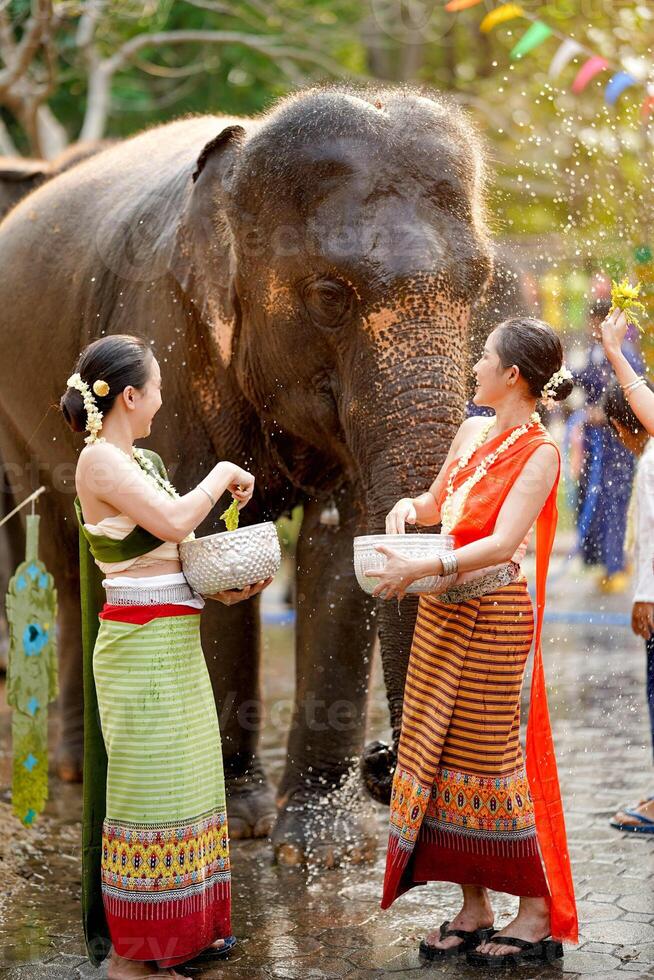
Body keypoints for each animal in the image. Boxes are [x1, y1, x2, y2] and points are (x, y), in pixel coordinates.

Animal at [0, 82, 498, 864]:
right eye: (329, 295)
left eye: (479, 286)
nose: (382, 763)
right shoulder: (167, 331)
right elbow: (196, 539)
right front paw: (241, 822)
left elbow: (339, 558)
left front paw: (317, 848)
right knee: (59, 550)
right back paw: (80, 769)